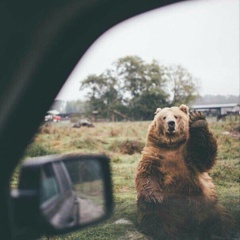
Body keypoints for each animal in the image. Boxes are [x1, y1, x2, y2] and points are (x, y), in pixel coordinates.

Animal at [135, 105, 231, 240]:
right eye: (164, 117)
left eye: (176, 116)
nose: (171, 123)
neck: (171, 145)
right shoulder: (155, 155)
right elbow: (147, 174)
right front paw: (154, 197)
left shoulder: (188, 154)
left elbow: (203, 155)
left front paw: (198, 119)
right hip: (164, 211)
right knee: (155, 219)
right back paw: (167, 233)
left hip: (208, 205)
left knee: (220, 220)